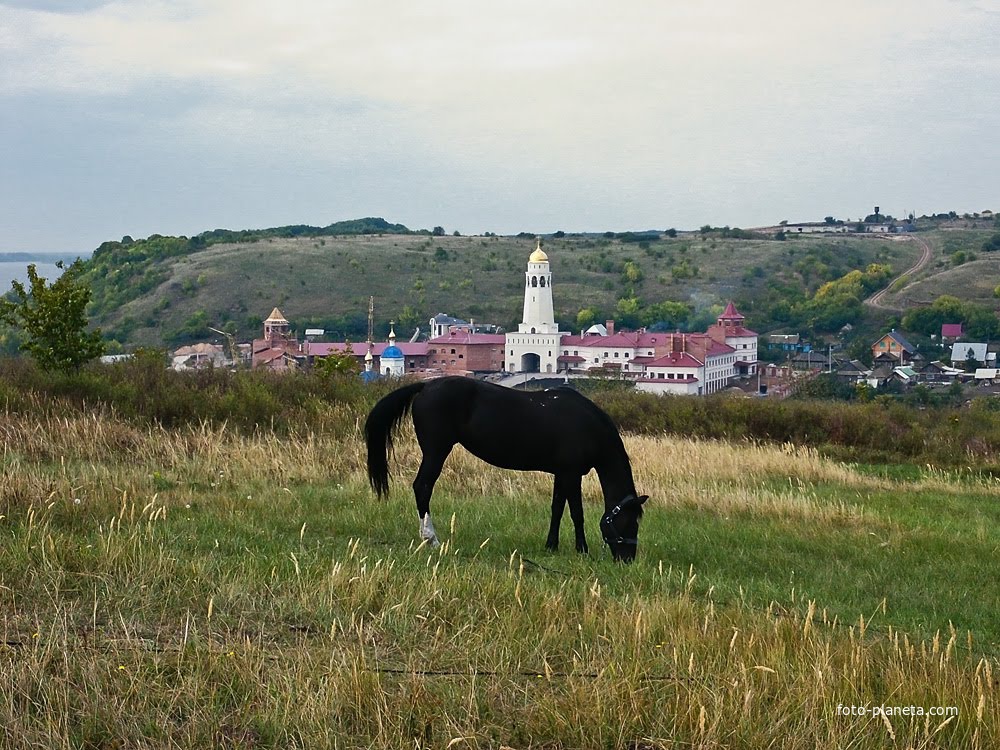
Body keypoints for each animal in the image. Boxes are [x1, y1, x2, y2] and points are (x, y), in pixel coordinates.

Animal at [366, 378, 648, 560]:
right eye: (629, 522)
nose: (628, 559)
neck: (586, 423)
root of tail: (426, 386)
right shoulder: (571, 473)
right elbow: (576, 513)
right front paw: (582, 549)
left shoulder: (561, 473)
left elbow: (557, 509)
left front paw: (551, 546)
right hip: (436, 451)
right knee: (422, 487)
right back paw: (431, 539)